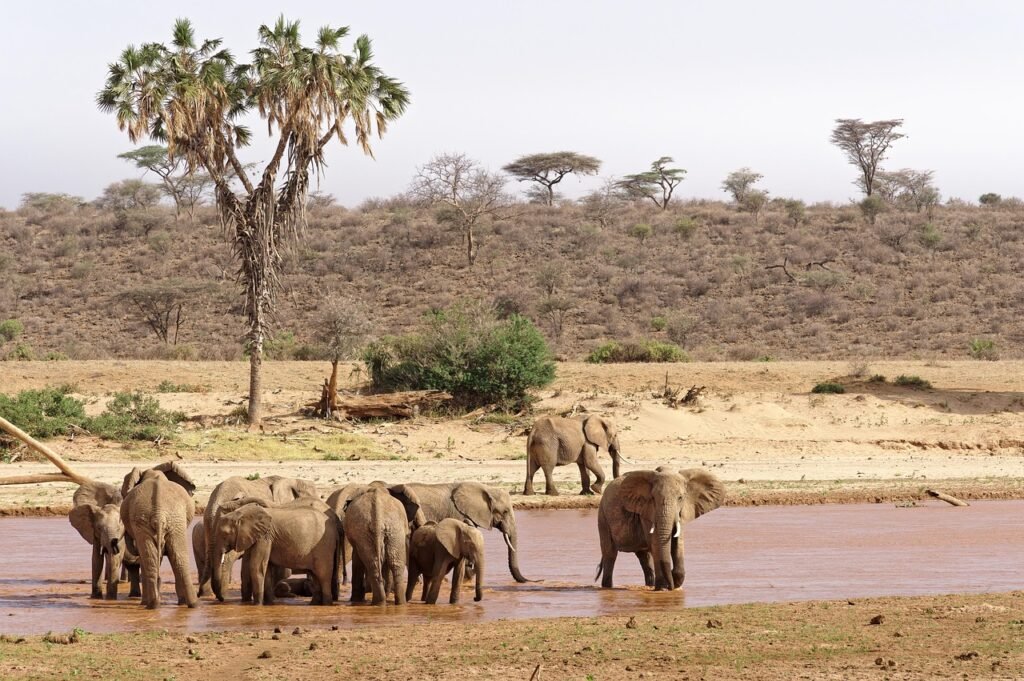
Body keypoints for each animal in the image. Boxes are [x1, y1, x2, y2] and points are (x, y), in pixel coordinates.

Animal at [120, 461, 198, 609]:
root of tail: (159, 513)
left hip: (159, 520)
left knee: (155, 559)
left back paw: (152, 604)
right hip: (170, 520)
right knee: (178, 559)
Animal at [211, 497, 340, 605]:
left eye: (225, 534)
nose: (222, 599)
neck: (240, 513)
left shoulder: (265, 536)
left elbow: (256, 567)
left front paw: (257, 605)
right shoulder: (259, 536)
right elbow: (266, 568)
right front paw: (269, 604)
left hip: (324, 546)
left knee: (323, 575)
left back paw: (326, 604)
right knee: (315, 574)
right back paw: (314, 604)